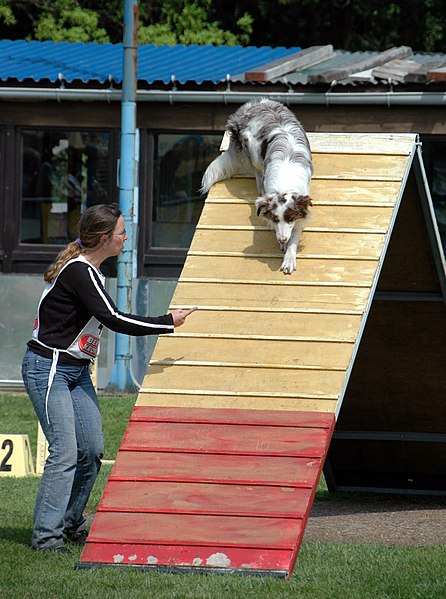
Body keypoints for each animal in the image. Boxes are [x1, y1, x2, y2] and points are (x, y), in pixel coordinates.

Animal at [200, 99, 312, 276]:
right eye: (275, 218)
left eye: (290, 218)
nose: (282, 239)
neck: (285, 183)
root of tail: (252, 104)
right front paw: (282, 244)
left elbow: (294, 234)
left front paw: (289, 258)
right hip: (253, 152)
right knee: (257, 171)